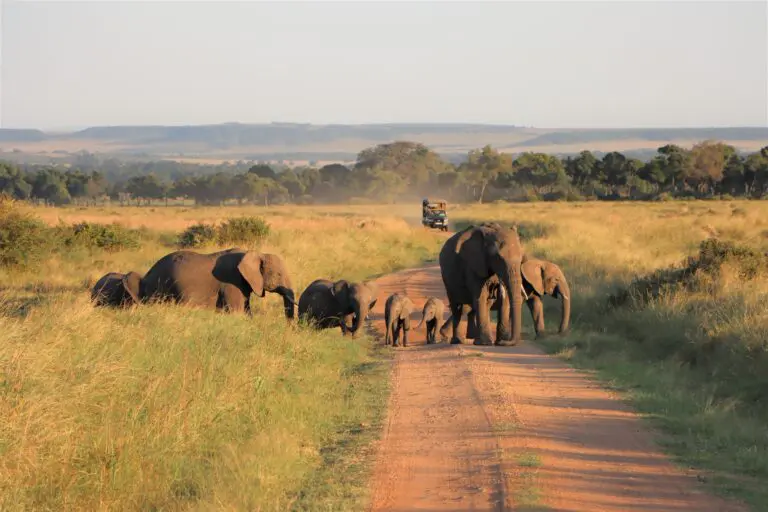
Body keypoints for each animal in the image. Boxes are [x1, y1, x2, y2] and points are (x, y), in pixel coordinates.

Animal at [440, 257, 571, 340]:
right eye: (556, 280)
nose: (558, 332)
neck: (538, 262)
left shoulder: (533, 286)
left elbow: (536, 305)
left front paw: (541, 338)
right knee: (465, 309)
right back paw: (445, 335)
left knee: (468, 310)